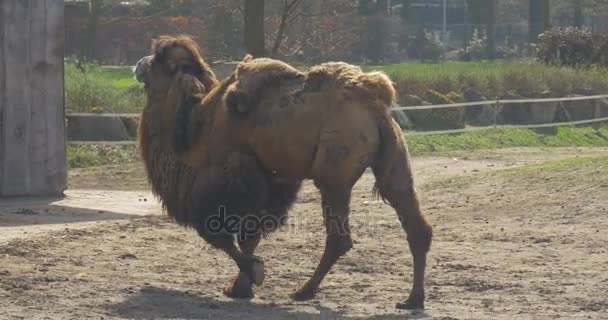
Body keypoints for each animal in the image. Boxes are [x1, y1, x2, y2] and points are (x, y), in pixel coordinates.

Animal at [135, 35, 434, 310]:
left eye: (159, 62)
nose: (138, 64)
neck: (196, 130)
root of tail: (375, 108)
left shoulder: (231, 178)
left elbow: (217, 234)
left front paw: (253, 274)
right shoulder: (271, 180)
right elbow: (249, 235)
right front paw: (240, 288)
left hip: (333, 173)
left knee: (339, 237)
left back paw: (304, 291)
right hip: (394, 165)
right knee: (415, 225)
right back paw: (413, 299)